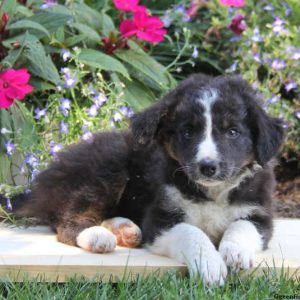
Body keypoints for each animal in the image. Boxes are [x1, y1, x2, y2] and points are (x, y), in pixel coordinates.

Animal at [6, 74, 284, 284]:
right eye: (187, 132)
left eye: (233, 132)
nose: (208, 167)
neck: (210, 192)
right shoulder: (160, 221)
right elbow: (191, 232)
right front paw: (210, 264)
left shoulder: (259, 213)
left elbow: (242, 226)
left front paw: (235, 252)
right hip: (108, 166)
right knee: (67, 221)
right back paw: (97, 237)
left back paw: (125, 228)